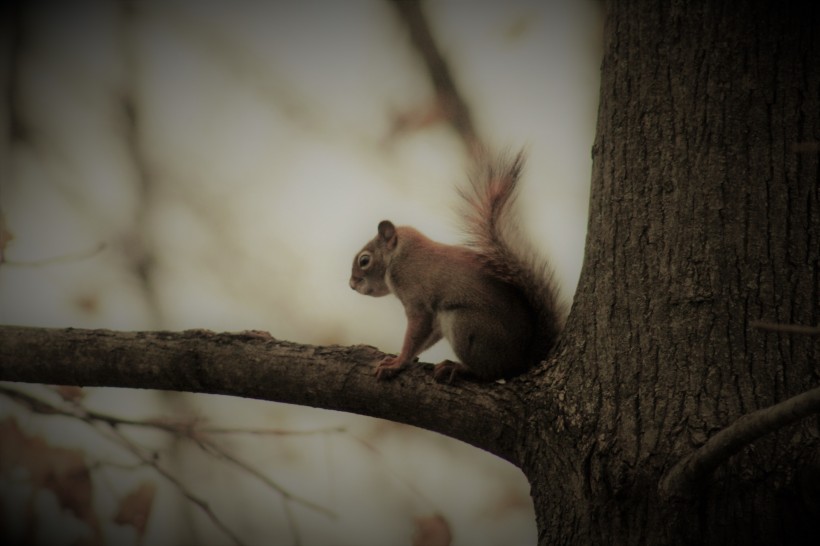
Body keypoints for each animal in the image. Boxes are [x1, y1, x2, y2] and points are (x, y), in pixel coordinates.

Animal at [346, 149, 564, 378]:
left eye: (364, 260)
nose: (351, 284)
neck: (399, 255)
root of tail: (522, 360)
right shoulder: (433, 318)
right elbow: (426, 338)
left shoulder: (417, 299)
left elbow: (415, 333)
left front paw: (397, 363)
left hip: (465, 323)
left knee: (491, 371)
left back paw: (458, 367)